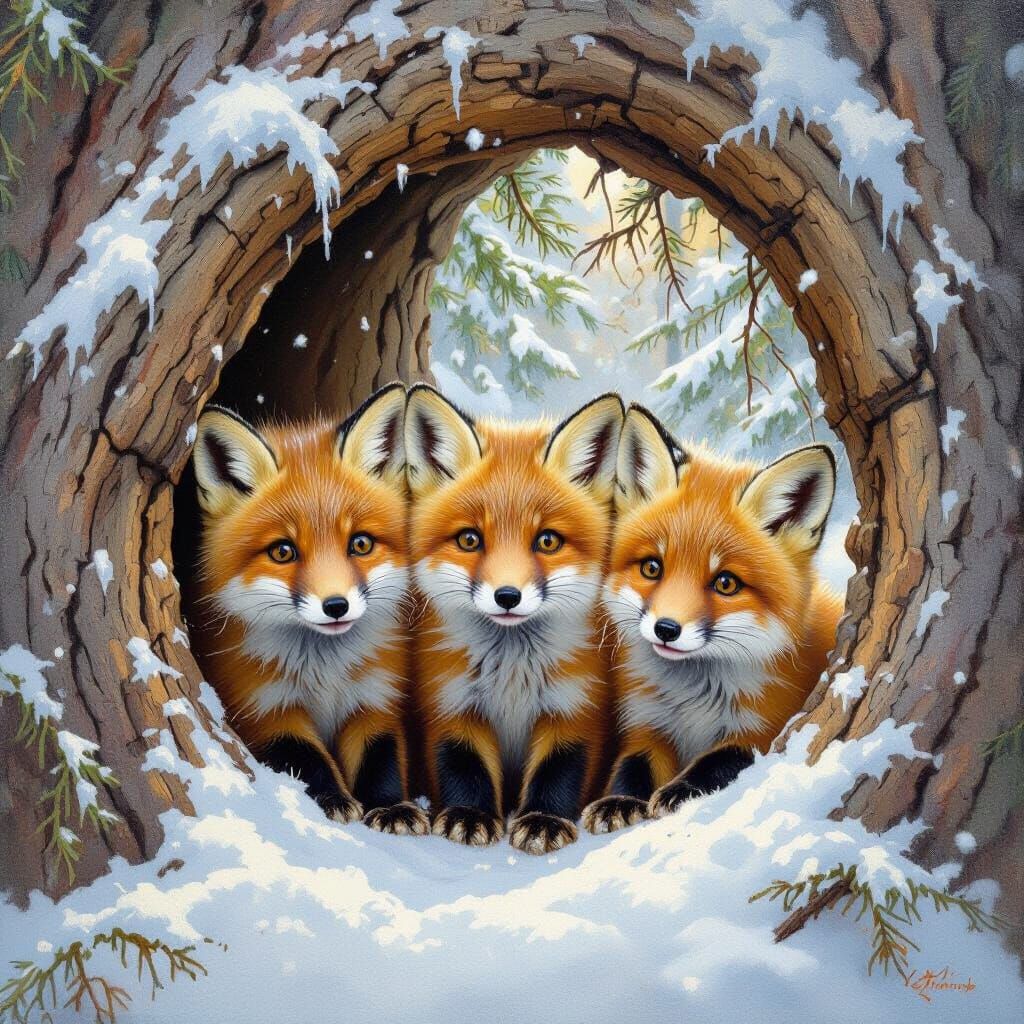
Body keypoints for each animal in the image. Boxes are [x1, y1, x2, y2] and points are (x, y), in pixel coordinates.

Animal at [190, 382, 429, 836]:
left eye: (361, 544)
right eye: (283, 551)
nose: (336, 606)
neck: (325, 674)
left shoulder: (375, 698)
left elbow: (382, 759)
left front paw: (391, 807)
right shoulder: (262, 708)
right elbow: (307, 758)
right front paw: (334, 801)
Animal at [405, 384, 624, 854]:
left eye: (547, 541)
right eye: (470, 539)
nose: (507, 596)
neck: (512, 674)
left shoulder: (575, 705)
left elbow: (558, 771)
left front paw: (543, 821)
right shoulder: (451, 700)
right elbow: (464, 766)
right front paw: (469, 816)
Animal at [583, 404, 843, 835]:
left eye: (726, 583)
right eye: (652, 567)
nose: (666, 629)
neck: (694, 701)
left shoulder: (770, 725)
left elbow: (720, 761)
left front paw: (680, 791)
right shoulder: (647, 723)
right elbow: (632, 766)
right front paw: (619, 801)